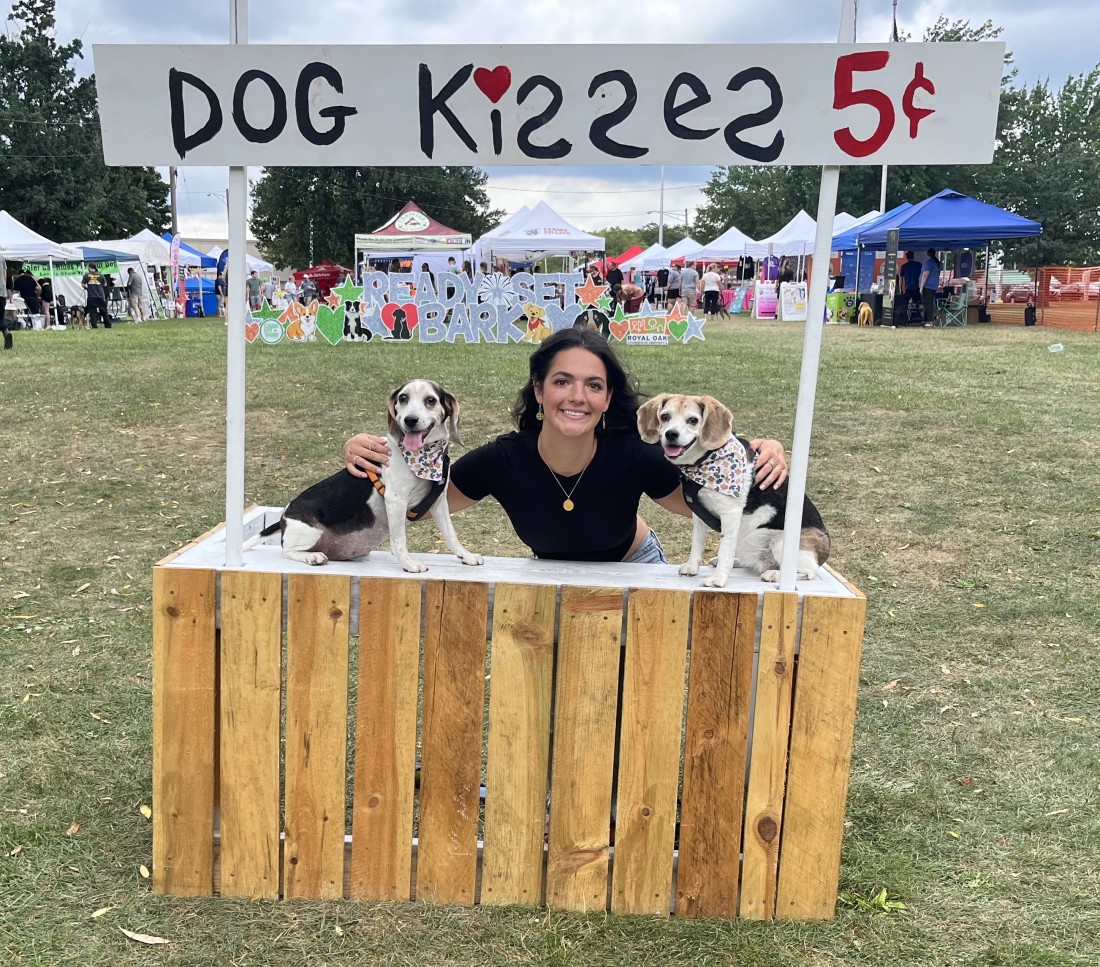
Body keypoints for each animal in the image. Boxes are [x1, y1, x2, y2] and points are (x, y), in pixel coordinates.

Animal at [257, 380, 486, 576]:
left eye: (431, 400)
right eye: (403, 398)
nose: (410, 420)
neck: (423, 458)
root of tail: (284, 516)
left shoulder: (438, 502)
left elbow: (451, 535)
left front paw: (466, 556)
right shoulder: (396, 500)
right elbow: (399, 540)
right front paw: (408, 564)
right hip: (309, 532)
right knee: (287, 551)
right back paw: (313, 557)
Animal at [638, 396, 827, 589]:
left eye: (693, 420)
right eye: (665, 416)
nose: (671, 434)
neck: (705, 460)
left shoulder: (730, 514)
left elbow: (725, 551)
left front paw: (718, 579)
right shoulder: (699, 515)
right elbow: (696, 544)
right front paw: (692, 567)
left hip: (782, 544)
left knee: (808, 572)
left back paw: (774, 574)